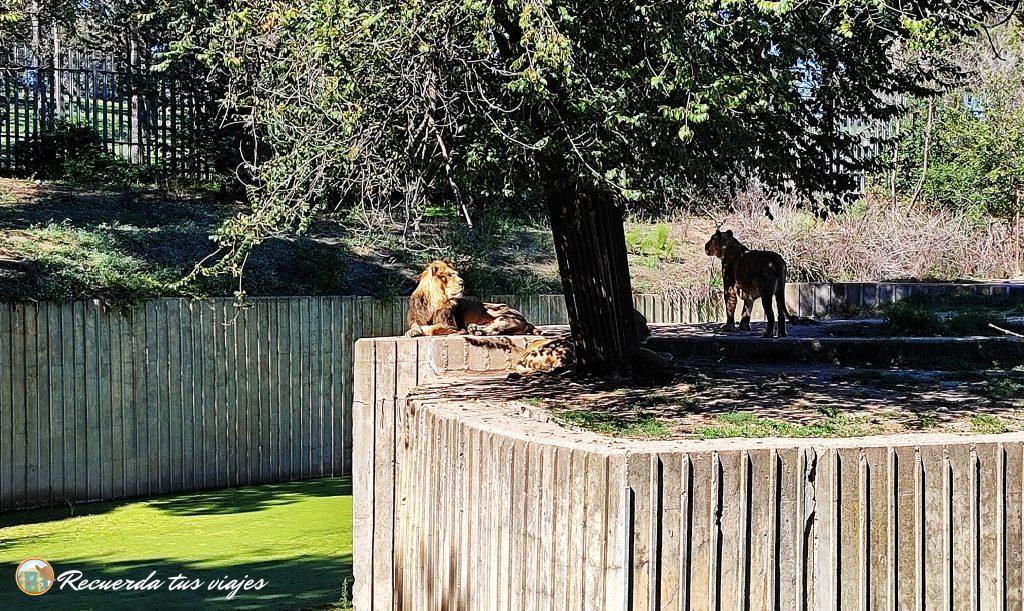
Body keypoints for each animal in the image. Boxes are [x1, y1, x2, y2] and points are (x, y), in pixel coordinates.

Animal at [405, 260, 540, 337]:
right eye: (449, 275)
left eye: (457, 275)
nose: (463, 282)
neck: (435, 300)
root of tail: (526, 320)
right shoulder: (415, 318)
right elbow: (415, 325)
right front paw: (413, 331)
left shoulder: (449, 324)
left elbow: (432, 328)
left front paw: (419, 330)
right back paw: (472, 328)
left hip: (502, 315)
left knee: (494, 329)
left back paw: (473, 330)